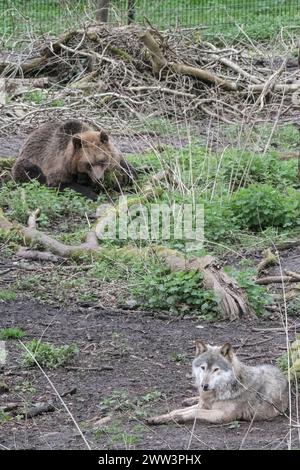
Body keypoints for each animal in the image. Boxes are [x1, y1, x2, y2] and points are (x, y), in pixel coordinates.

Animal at [148, 340, 288, 424]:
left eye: (216, 369)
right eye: (203, 367)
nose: (204, 386)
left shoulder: (222, 415)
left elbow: (193, 412)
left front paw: (177, 418)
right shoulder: (205, 404)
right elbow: (176, 411)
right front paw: (159, 418)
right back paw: (189, 399)